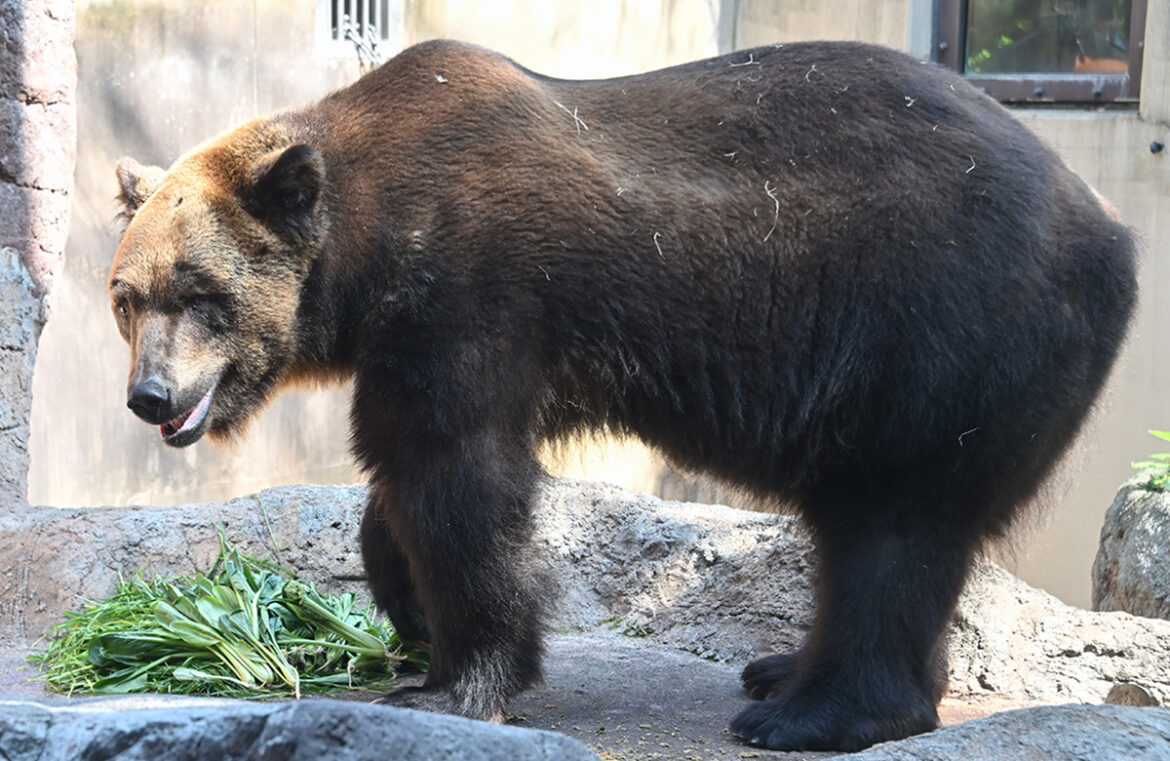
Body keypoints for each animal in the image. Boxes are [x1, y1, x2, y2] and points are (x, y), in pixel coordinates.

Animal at [108, 40, 1137, 751]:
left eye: (201, 292)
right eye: (126, 295)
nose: (151, 397)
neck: (369, 237)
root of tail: (1112, 228)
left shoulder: (468, 290)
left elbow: (456, 475)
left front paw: (455, 677)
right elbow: (407, 480)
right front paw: (406, 611)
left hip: (942, 325)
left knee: (894, 522)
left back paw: (812, 711)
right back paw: (781, 671)